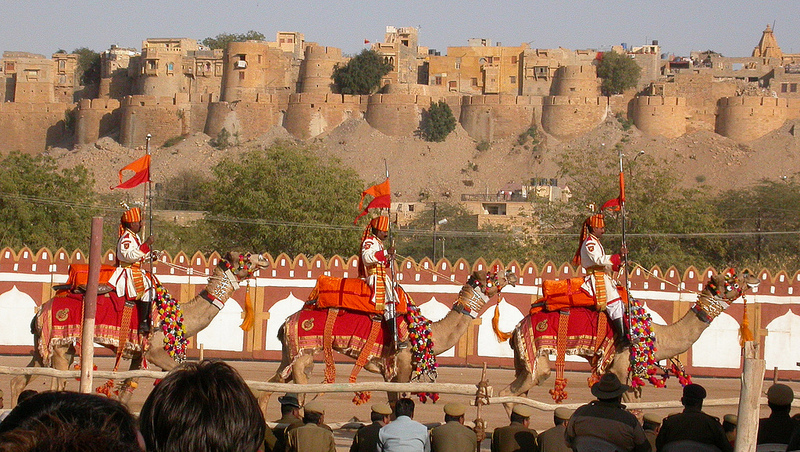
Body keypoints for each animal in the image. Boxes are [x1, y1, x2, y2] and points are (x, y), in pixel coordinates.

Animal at [10, 251, 268, 406]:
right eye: (245, 257)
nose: (264, 258)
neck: (179, 316)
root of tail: (41, 311)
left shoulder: (138, 354)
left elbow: (127, 390)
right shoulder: (154, 351)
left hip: (48, 347)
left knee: (19, 380)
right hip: (60, 346)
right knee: (56, 382)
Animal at [268, 266, 516, 404]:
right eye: (491, 276)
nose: (511, 274)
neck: (427, 334)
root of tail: (286, 323)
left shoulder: (390, 373)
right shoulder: (402, 367)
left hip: (288, 355)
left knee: (271, 385)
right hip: (303, 357)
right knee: (298, 394)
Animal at [496, 268, 760, 402]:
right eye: (730, 278)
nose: (752, 275)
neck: (656, 336)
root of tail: (516, 328)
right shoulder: (621, 367)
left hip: (523, 359)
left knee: (514, 392)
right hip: (535, 351)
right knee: (514, 389)